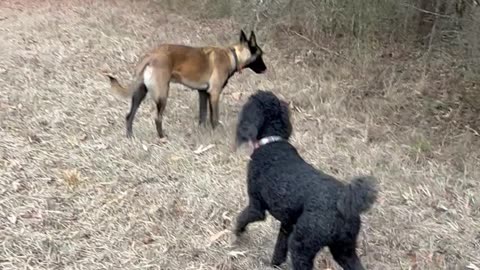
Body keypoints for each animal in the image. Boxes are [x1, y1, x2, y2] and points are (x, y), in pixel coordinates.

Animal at [106, 30, 268, 138]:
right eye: (261, 55)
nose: (266, 69)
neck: (232, 56)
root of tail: (151, 55)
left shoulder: (203, 93)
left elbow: (202, 115)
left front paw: (202, 131)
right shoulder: (214, 94)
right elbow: (214, 118)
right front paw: (216, 133)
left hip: (140, 92)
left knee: (129, 115)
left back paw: (130, 136)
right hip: (162, 94)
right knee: (157, 118)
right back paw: (162, 137)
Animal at [233, 89, 378, 268]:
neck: (272, 143)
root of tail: (344, 202)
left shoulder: (256, 207)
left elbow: (242, 218)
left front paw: (237, 233)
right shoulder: (287, 223)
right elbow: (279, 247)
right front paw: (274, 264)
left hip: (302, 245)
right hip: (344, 250)